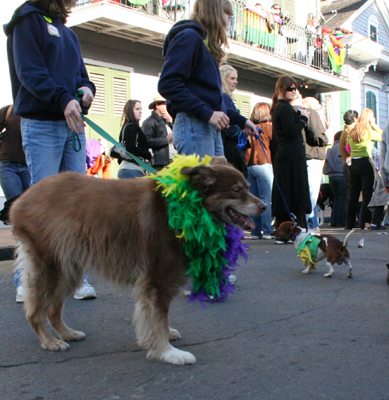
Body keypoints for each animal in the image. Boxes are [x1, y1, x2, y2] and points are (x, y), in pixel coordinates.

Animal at [9, 156, 264, 366]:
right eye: (236, 190)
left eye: (247, 187)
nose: (263, 206)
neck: (184, 207)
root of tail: (20, 200)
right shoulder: (157, 279)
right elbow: (157, 316)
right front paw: (167, 352)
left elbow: (159, 316)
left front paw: (165, 336)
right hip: (49, 266)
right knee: (35, 312)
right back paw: (50, 341)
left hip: (70, 269)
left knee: (53, 308)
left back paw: (67, 333)